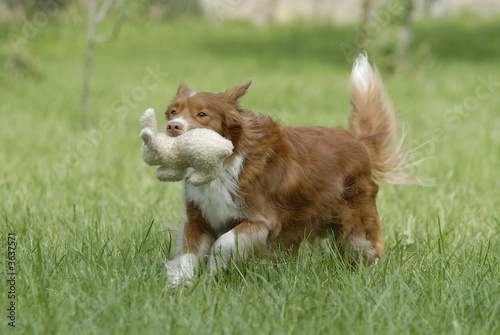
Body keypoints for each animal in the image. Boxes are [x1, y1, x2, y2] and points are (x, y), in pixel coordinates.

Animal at [163, 53, 414, 284]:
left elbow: (223, 243)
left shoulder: (262, 220)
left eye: (202, 114)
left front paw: (213, 272)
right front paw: (180, 284)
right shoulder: (198, 215)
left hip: (354, 222)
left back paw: (375, 274)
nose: (172, 127)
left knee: (367, 247)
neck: (223, 163)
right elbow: (188, 251)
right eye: (174, 112)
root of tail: (359, 141)